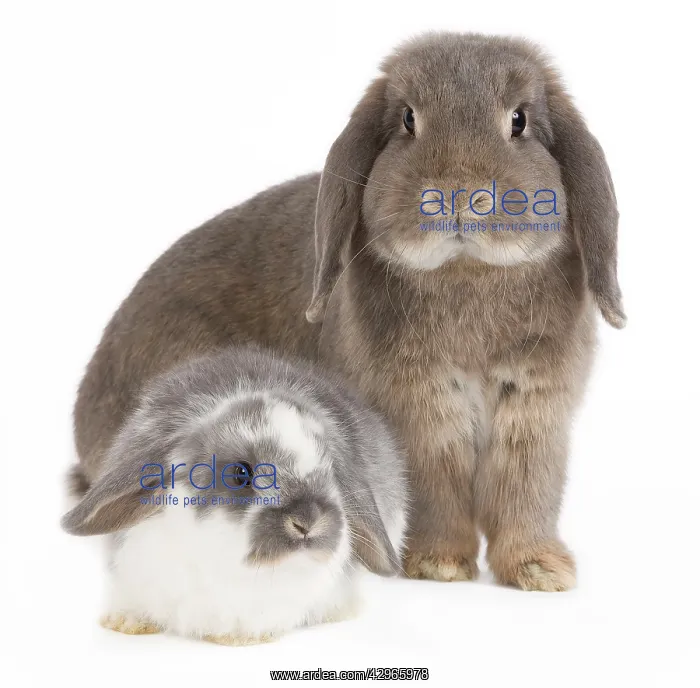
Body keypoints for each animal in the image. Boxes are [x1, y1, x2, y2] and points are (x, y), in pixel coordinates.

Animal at [73, 32, 624, 592]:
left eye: (519, 120)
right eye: (407, 119)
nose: (457, 195)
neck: (467, 273)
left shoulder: (534, 414)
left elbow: (527, 493)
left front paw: (541, 569)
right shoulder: (416, 417)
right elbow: (435, 492)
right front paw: (437, 564)